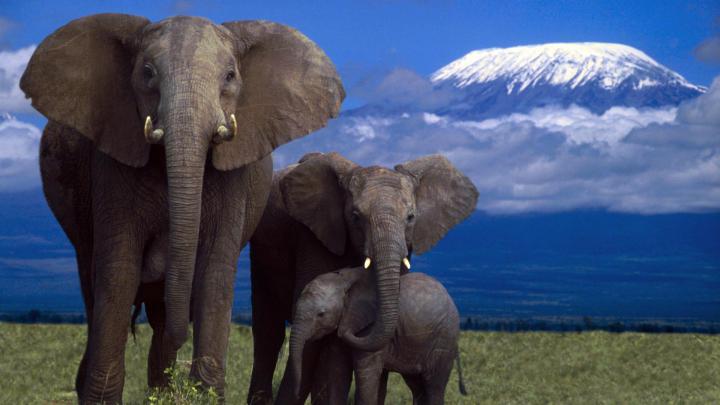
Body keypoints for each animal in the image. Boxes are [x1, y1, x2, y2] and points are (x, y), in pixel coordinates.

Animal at [20, 14, 343, 403]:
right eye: (147, 72)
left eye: (230, 76)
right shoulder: (113, 161)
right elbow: (119, 269)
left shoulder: (234, 177)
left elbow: (214, 271)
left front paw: (201, 392)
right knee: (94, 288)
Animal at [289, 267, 467, 405]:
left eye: (321, 314)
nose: (296, 394)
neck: (343, 280)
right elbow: (337, 371)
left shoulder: (369, 326)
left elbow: (366, 374)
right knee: (417, 385)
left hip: (444, 340)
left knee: (434, 385)